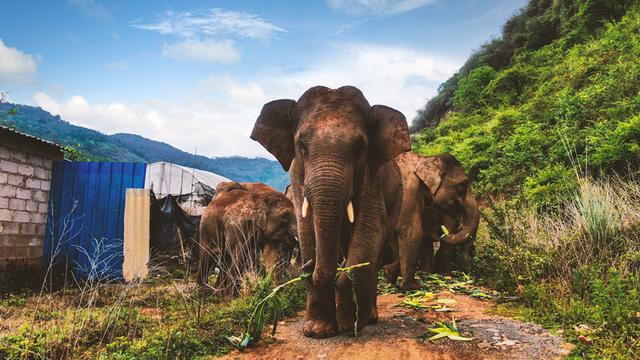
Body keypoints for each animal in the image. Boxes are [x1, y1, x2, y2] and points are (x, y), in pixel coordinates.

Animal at [251, 84, 410, 338]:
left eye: (360, 147)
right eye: (302, 144)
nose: (306, 266)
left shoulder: (371, 176)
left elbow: (370, 228)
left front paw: (349, 325)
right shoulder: (297, 176)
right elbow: (307, 230)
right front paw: (317, 332)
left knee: (375, 253)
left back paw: (369, 319)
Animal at [382, 150, 478, 286]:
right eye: (463, 184)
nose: (443, 235)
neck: (424, 158)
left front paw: (389, 274)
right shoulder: (408, 189)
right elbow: (412, 231)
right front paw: (412, 286)